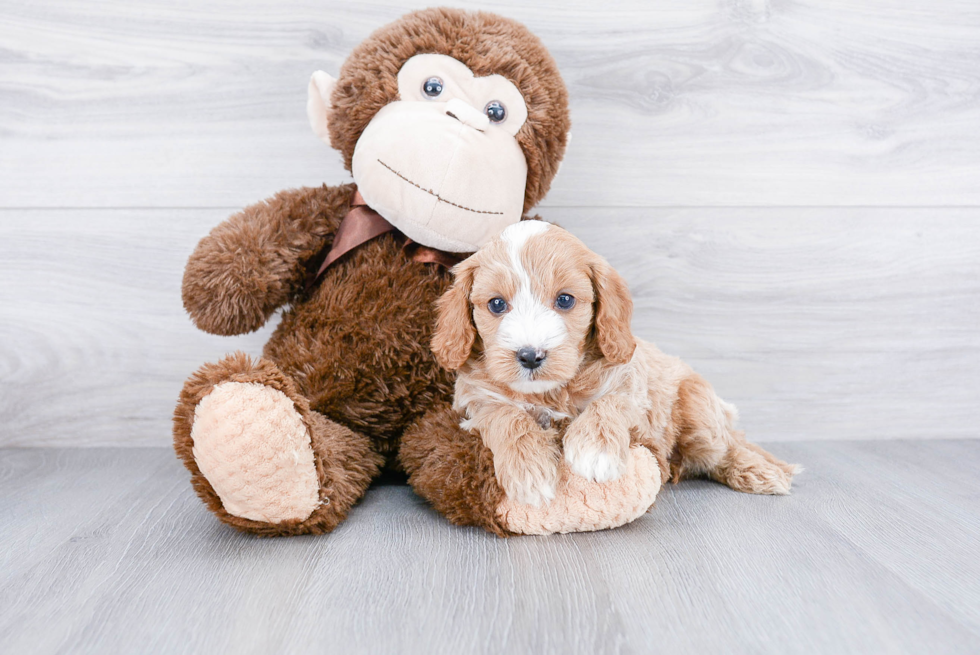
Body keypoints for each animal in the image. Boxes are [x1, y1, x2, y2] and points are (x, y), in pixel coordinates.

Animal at [432, 220, 800, 508]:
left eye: (565, 300)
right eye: (496, 304)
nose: (530, 356)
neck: (552, 393)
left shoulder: (634, 392)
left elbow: (611, 402)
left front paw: (596, 452)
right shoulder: (475, 401)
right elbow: (506, 416)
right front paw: (528, 469)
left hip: (699, 410)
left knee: (726, 447)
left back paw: (759, 471)